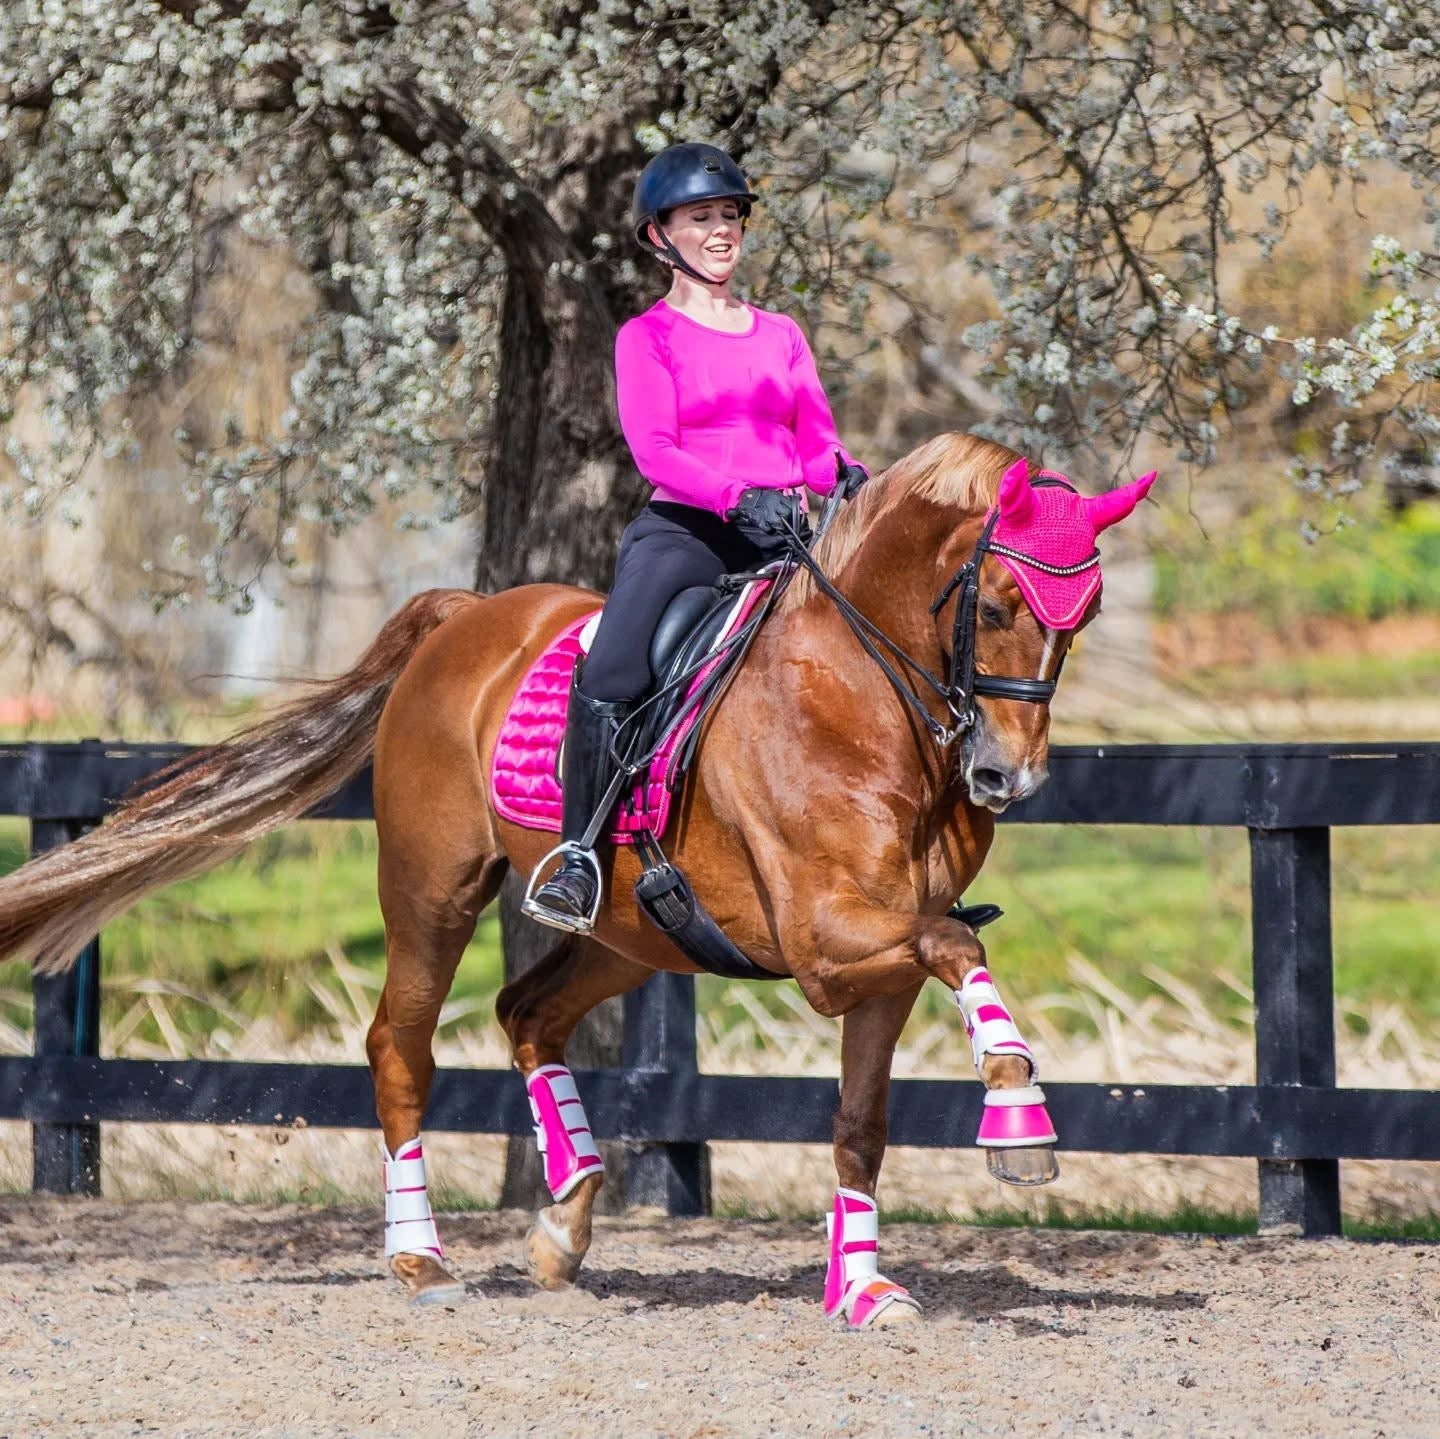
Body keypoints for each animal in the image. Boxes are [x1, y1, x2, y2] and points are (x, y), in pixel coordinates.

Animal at [0, 431, 1153, 1328]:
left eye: (1086, 612)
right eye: (996, 602)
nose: (1008, 775)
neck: (858, 701)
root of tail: (462, 618)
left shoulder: (883, 964)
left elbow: (862, 1123)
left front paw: (864, 1288)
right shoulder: (829, 945)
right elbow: (965, 945)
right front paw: (1021, 1117)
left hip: (632, 934)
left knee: (527, 1011)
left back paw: (566, 1218)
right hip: (431, 893)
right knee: (401, 1049)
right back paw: (421, 1257)